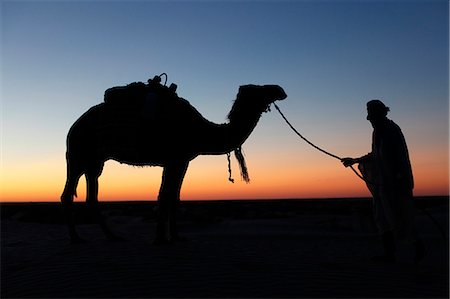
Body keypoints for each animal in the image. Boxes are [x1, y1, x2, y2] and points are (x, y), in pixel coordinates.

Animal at [59, 76, 286, 245]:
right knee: (68, 194)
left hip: (95, 161)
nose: (280, 89)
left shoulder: (181, 161)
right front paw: (160, 239)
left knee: (91, 196)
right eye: (258, 89)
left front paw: (175, 236)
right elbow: (165, 195)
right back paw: (76, 238)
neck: (200, 130)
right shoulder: (174, 159)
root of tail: (73, 126)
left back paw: (112, 236)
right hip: (78, 155)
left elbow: (173, 197)